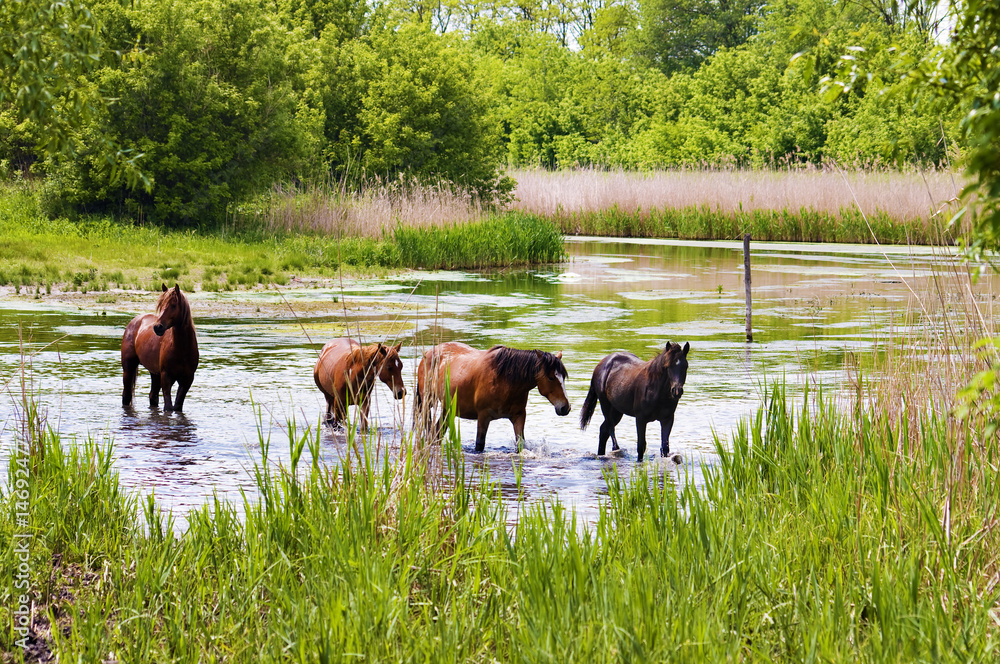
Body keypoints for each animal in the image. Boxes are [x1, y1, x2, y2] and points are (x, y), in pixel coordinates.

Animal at [121, 284, 199, 412]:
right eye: (161, 305)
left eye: (173, 305)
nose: (157, 327)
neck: (182, 349)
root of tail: (134, 321)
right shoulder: (166, 377)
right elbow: (168, 407)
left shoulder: (187, 379)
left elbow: (177, 406)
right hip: (128, 369)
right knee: (126, 396)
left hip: (155, 374)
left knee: (152, 396)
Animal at [415, 342, 571, 452]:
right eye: (551, 377)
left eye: (563, 377)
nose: (565, 407)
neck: (506, 380)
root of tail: (427, 354)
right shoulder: (483, 416)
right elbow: (479, 445)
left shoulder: (519, 416)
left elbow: (520, 444)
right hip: (428, 403)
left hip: (448, 409)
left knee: (437, 433)